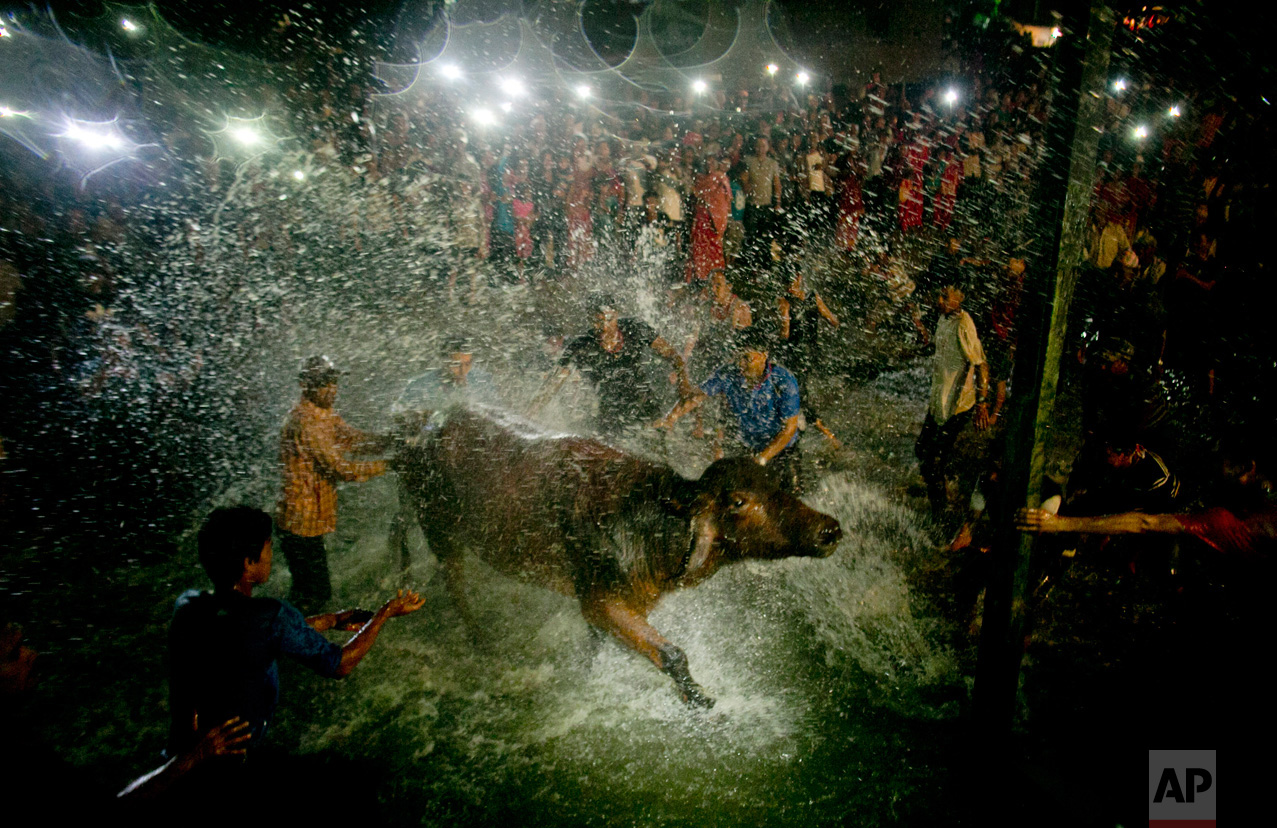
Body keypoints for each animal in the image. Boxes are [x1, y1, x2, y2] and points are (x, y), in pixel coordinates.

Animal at [395, 406, 837, 705]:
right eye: (739, 501)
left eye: (775, 482)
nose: (829, 529)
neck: (650, 530)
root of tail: (414, 423)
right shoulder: (599, 598)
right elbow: (673, 655)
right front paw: (701, 699)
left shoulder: (613, 601)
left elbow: (599, 647)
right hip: (439, 529)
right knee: (454, 585)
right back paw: (481, 641)